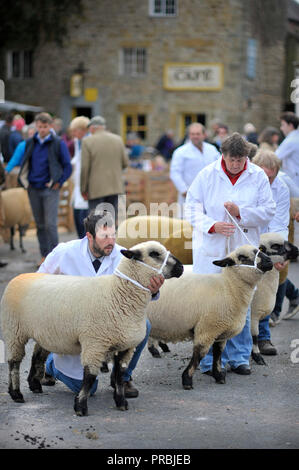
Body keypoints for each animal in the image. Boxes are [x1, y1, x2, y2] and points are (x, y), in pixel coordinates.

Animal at [0, 241, 184, 416]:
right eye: (154, 254)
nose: (181, 267)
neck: (118, 294)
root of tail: (19, 277)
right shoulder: (95, 343)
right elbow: (89, 376)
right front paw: (80, 406)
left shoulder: (125, 346)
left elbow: (119, 375)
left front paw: (121, 401)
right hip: (14, 331)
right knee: (14, 362)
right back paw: (16, 393)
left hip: (44, 332)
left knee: (37, 356)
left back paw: (35, 384)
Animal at [145, 246, 274, 390]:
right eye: (242, 257)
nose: (270, 261)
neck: (229, 288)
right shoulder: (207, 329)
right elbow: (199, 354)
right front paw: (187, 380)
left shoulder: (220, 331)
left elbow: (218, 354)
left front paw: (218, 376)